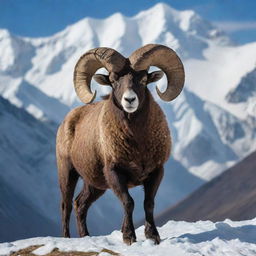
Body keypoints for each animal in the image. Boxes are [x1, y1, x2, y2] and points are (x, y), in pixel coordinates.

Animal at [56, 43, 184, 244]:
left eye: (143, 80)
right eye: (113, 80)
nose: (129, 100)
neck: (138, 143)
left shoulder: (156, 172)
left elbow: (148, 203)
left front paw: (153, 236)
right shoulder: (115, 173)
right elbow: (128, 202)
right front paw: (129, 237)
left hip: (94, 185)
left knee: (80, 204)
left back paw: (86, 236)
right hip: (67, 172)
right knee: (66, 205)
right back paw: (68, 239)